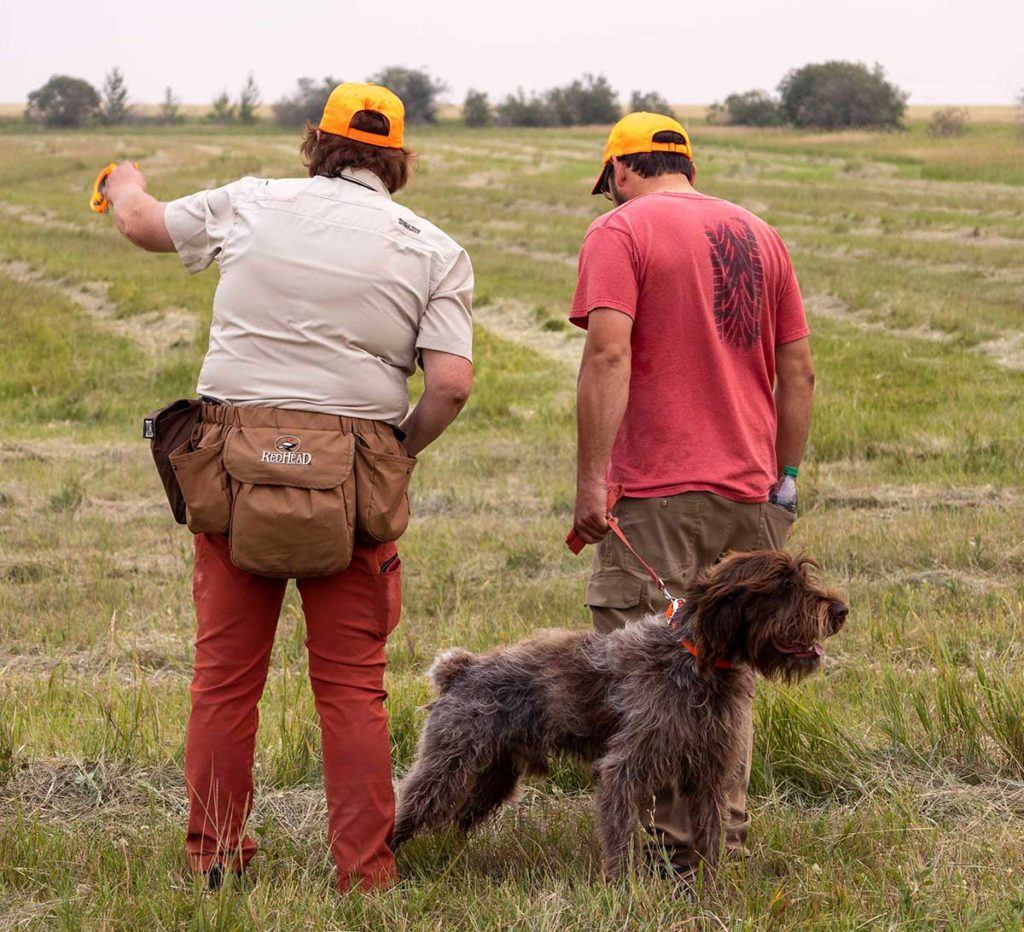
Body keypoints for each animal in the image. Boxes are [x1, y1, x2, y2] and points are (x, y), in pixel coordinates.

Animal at [391, 548, 847, 880]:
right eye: (784, 586)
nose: (841, 611)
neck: (695, 658)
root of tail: (461, 667)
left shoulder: (709, 774)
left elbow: (712, 837)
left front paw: (712, 888)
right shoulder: (623, 771)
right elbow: (622, 836)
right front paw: (623, 887)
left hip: (493, 776)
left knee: (457, 819)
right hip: (446, 767)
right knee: (408, 804)